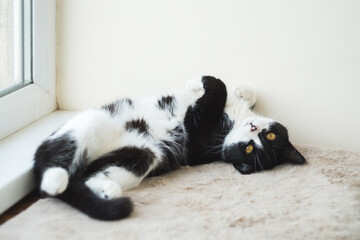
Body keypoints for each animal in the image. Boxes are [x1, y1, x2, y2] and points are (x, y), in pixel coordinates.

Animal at [33, 76, 306, 220]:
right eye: (270, 135)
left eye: (250, 151)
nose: (253, 129)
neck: (234, 123)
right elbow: (238, 94)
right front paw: (240, 91)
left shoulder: (198, 137)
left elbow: (216, 88)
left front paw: (200, 82)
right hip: (118, 138)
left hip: (138, 149)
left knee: (58, 163)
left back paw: (61, 182)